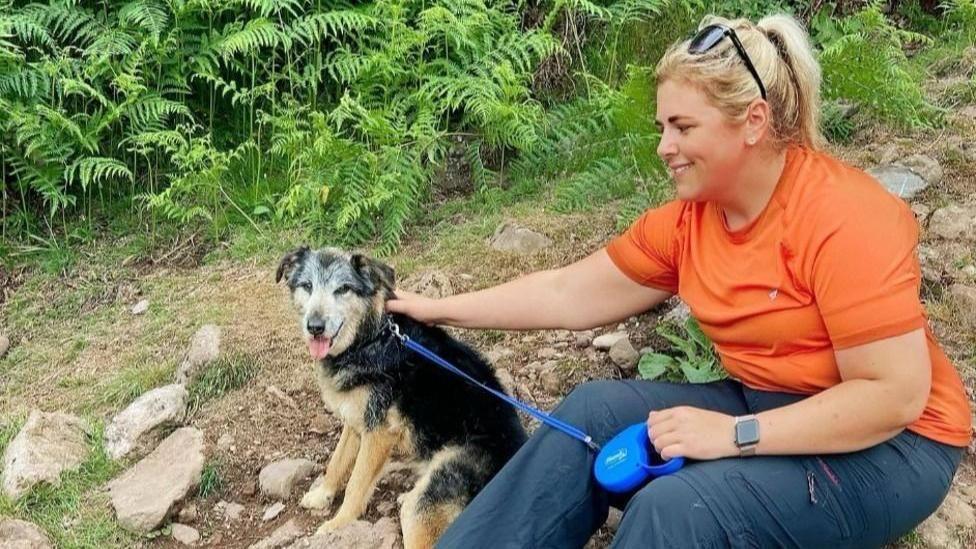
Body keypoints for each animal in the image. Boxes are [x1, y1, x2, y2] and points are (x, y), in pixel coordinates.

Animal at [274, 247, 528, 544]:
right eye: (307, 286)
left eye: (343, 289)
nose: (314, 327)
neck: (373, 338)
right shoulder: (356, 421)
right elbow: (337, 463)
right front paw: (322, 495)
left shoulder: (379, 433)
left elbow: (356, 483)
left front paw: (339, 523)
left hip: (425, 503)